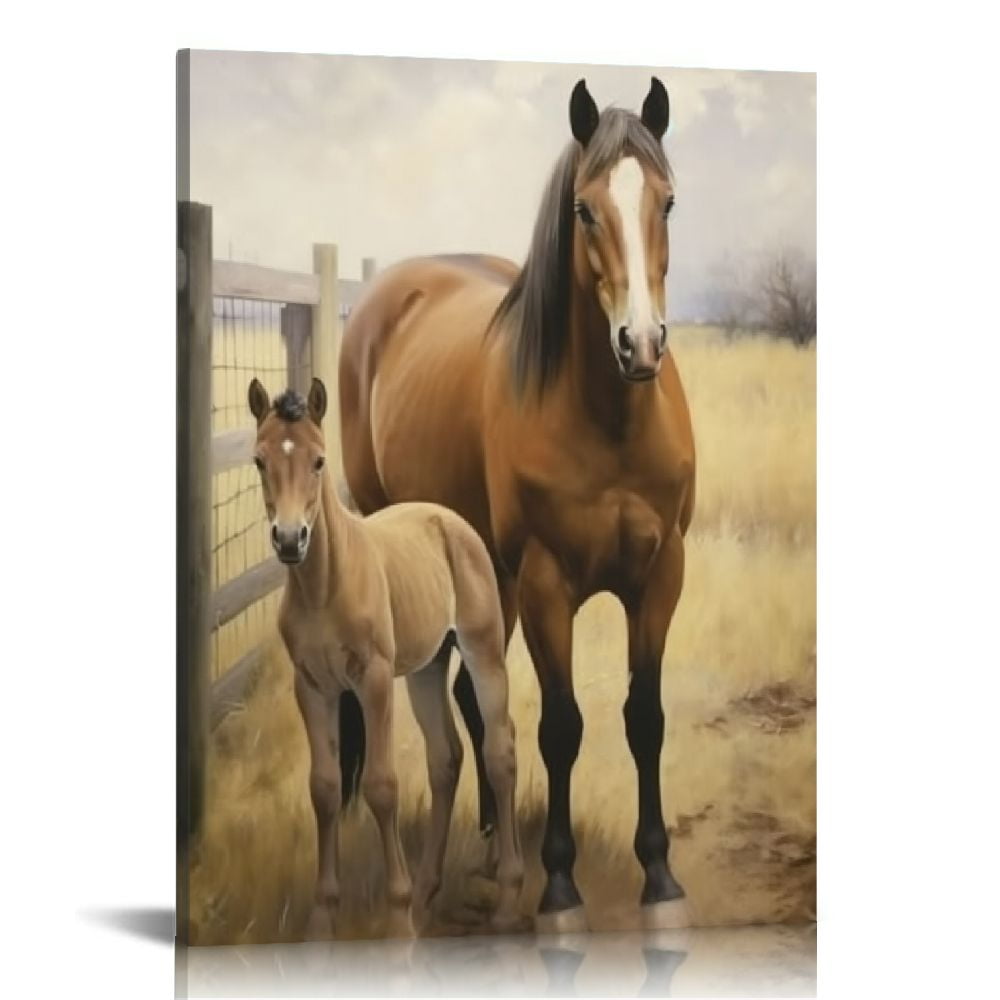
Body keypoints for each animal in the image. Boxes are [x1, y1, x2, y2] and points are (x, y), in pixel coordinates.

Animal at [247, 376, 524, 937]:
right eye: (260, 460)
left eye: (319, 461)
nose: (289, 540)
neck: (324, 586)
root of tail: (450, 519)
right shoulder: (312, 686)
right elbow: (325, 789)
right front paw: (322, 920)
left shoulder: (372, 681)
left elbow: (380, 785)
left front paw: (396, 921)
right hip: (426, 669)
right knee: (446, 759)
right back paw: (426, 893)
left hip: (482, 652)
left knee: (500, 752)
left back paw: (504, 898)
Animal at [339, 76, 695, 932]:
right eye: (585, 209)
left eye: (667, 201)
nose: (640, 345)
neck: (610, 419)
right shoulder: (545, 583)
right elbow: (560, 725)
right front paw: (559, 887)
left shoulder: (661, 576)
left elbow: (645, 717)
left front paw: (660, 876)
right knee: (470, 702)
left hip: (483, 575)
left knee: (475, 698)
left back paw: (489, 845)